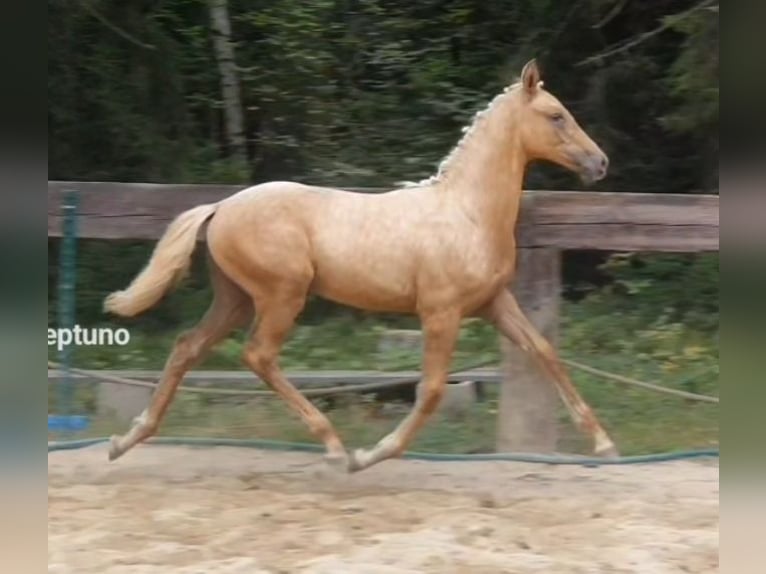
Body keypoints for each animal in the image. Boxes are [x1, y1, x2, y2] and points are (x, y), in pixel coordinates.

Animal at [103, 60, 616, 472]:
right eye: (556, 115)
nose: (601, 163)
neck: (467, 212)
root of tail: (222, 205)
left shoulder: (493, 303)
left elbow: (545, 353)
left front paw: (604, 445)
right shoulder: (441, 313)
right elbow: (432, 389)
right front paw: (372, 454)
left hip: (236, 299)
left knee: (187, 347)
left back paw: (125, 440)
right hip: (281, 295)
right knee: (258, 356)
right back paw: (335, 448)